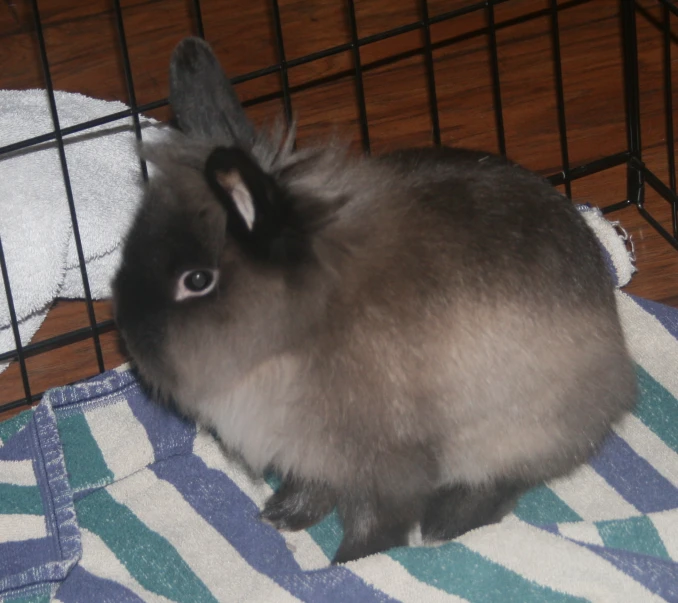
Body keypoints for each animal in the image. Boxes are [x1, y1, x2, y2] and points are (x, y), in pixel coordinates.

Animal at [111, 36, 636, 568]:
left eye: (197, 280)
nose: (131, 340)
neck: (297, 331)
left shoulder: (382, 462)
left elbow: (376, 518)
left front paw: (348, 564)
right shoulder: (314, 456)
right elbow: (313, 488)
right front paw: (280, 517)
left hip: (513, 431)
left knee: (505, 480)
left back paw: (447, 523)